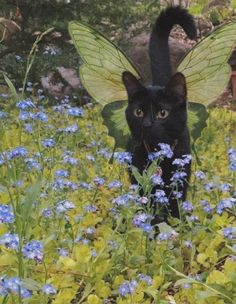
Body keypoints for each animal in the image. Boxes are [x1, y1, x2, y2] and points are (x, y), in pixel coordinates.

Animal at [121, 6, 197, 218]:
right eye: (139, 112)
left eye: (163, 113)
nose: (147, 124)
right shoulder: (138, 176)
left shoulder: (180, 178)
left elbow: (175, 208)